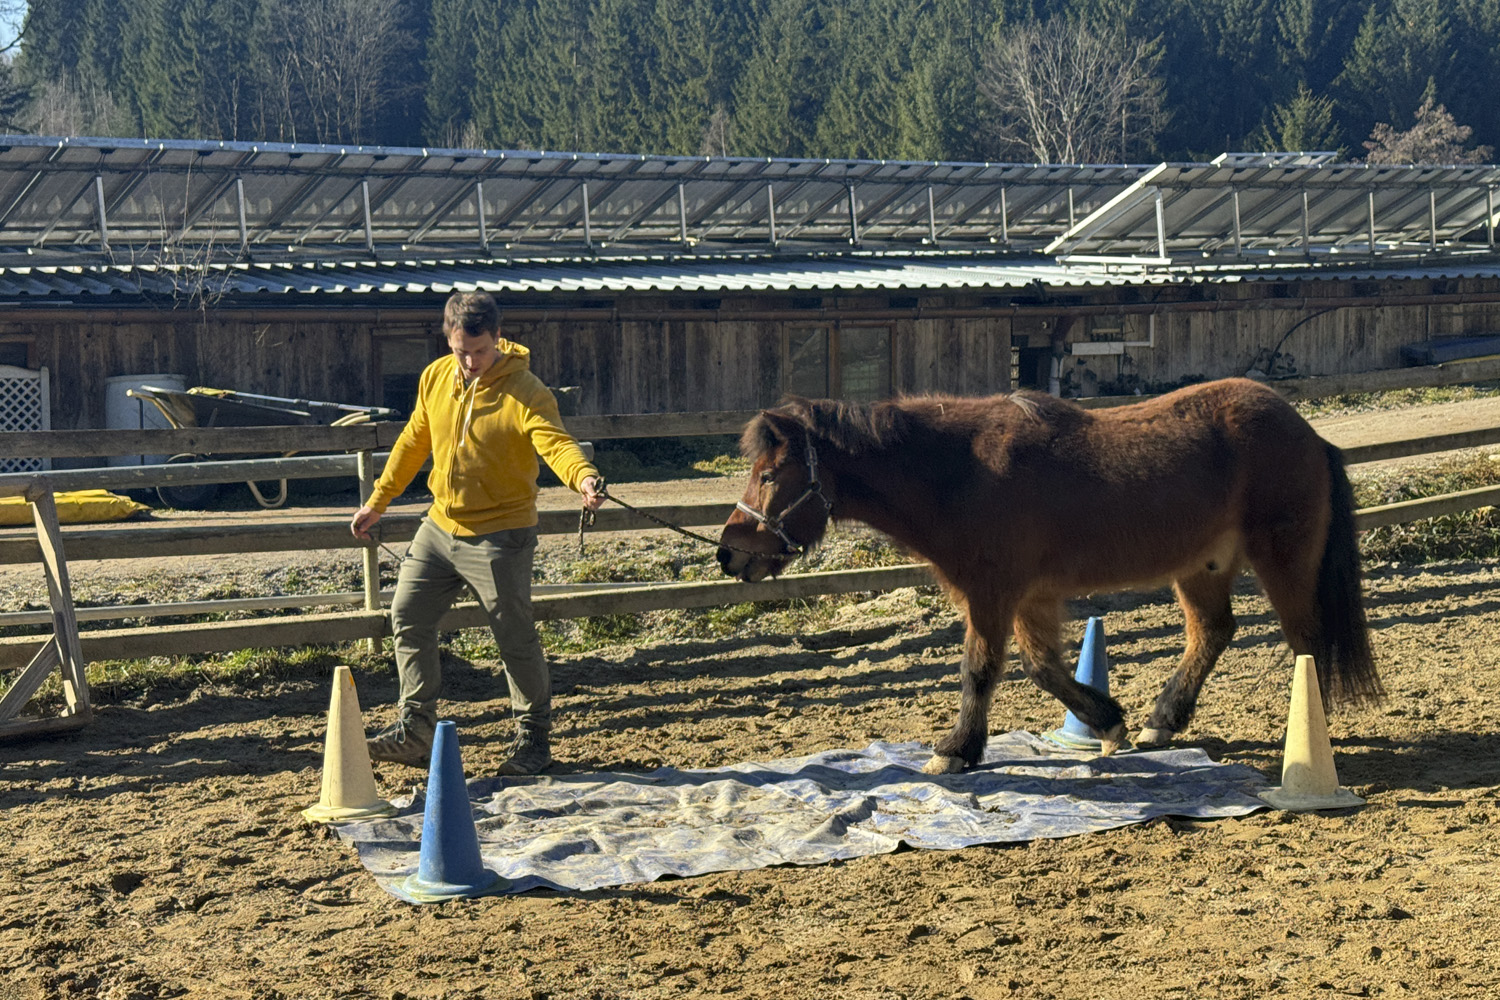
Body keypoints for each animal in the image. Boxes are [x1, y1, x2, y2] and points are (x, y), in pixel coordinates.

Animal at [717, 377, 1382, 774]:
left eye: (770, 475)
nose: (728, 552)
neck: (961, 474)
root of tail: (1308, 433)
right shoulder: (1029, 598)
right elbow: (1042, 668)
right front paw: (1108, 721)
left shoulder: (991, 594)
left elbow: (979, 670)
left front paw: (956, 751)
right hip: (1203, 568)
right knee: (1213, 633)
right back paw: (1160, 722)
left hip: (1283, 559)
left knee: (1305, 640)